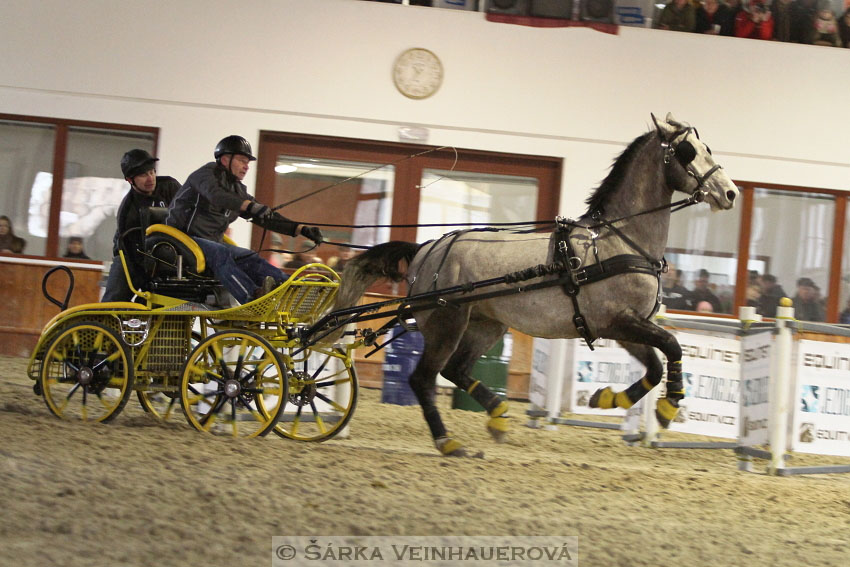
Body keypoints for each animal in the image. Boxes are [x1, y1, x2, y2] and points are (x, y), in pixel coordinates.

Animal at [330, 115, 736, 458]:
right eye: (688, 152)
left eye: (706, 148)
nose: (730, 193)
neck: (619, 241)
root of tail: (425, 249)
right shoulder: (620, 321)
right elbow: (672, 345)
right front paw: (669, 406)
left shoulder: (624, 327)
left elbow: (653, 368)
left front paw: (606, 399)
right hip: (448, 323)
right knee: (424, 378)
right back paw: (448, 441)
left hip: (486, 325)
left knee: (455, 371)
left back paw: (498, 415)